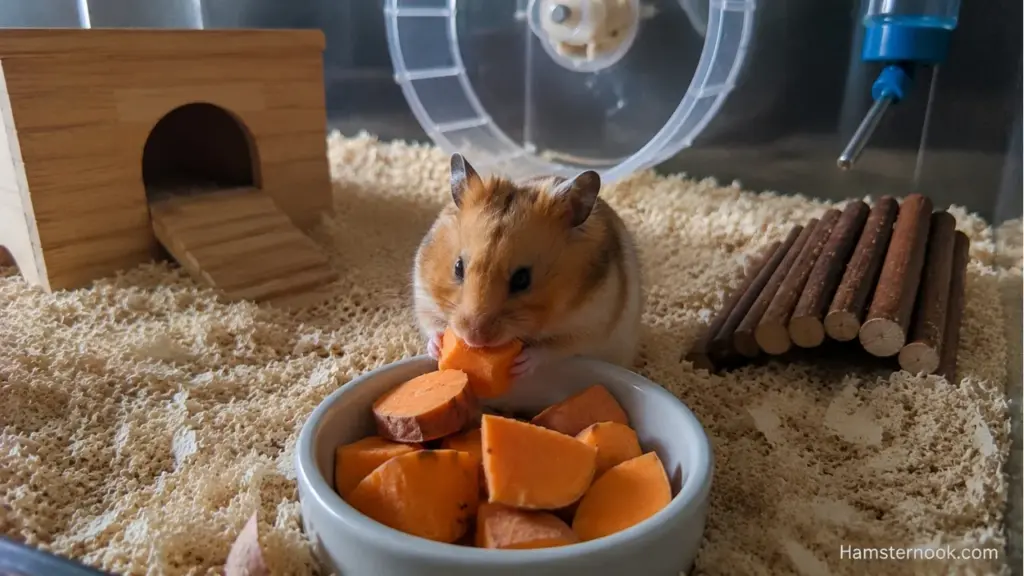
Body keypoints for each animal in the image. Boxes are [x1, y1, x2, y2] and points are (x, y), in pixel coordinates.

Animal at [411, 153, 644, 377]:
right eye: (458, 268)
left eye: (522, 280)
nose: (473, 339)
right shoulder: (423, 295)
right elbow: (431, 325)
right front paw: (437, 346)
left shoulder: (590, 325)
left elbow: (553, 349)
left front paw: (521, 363)